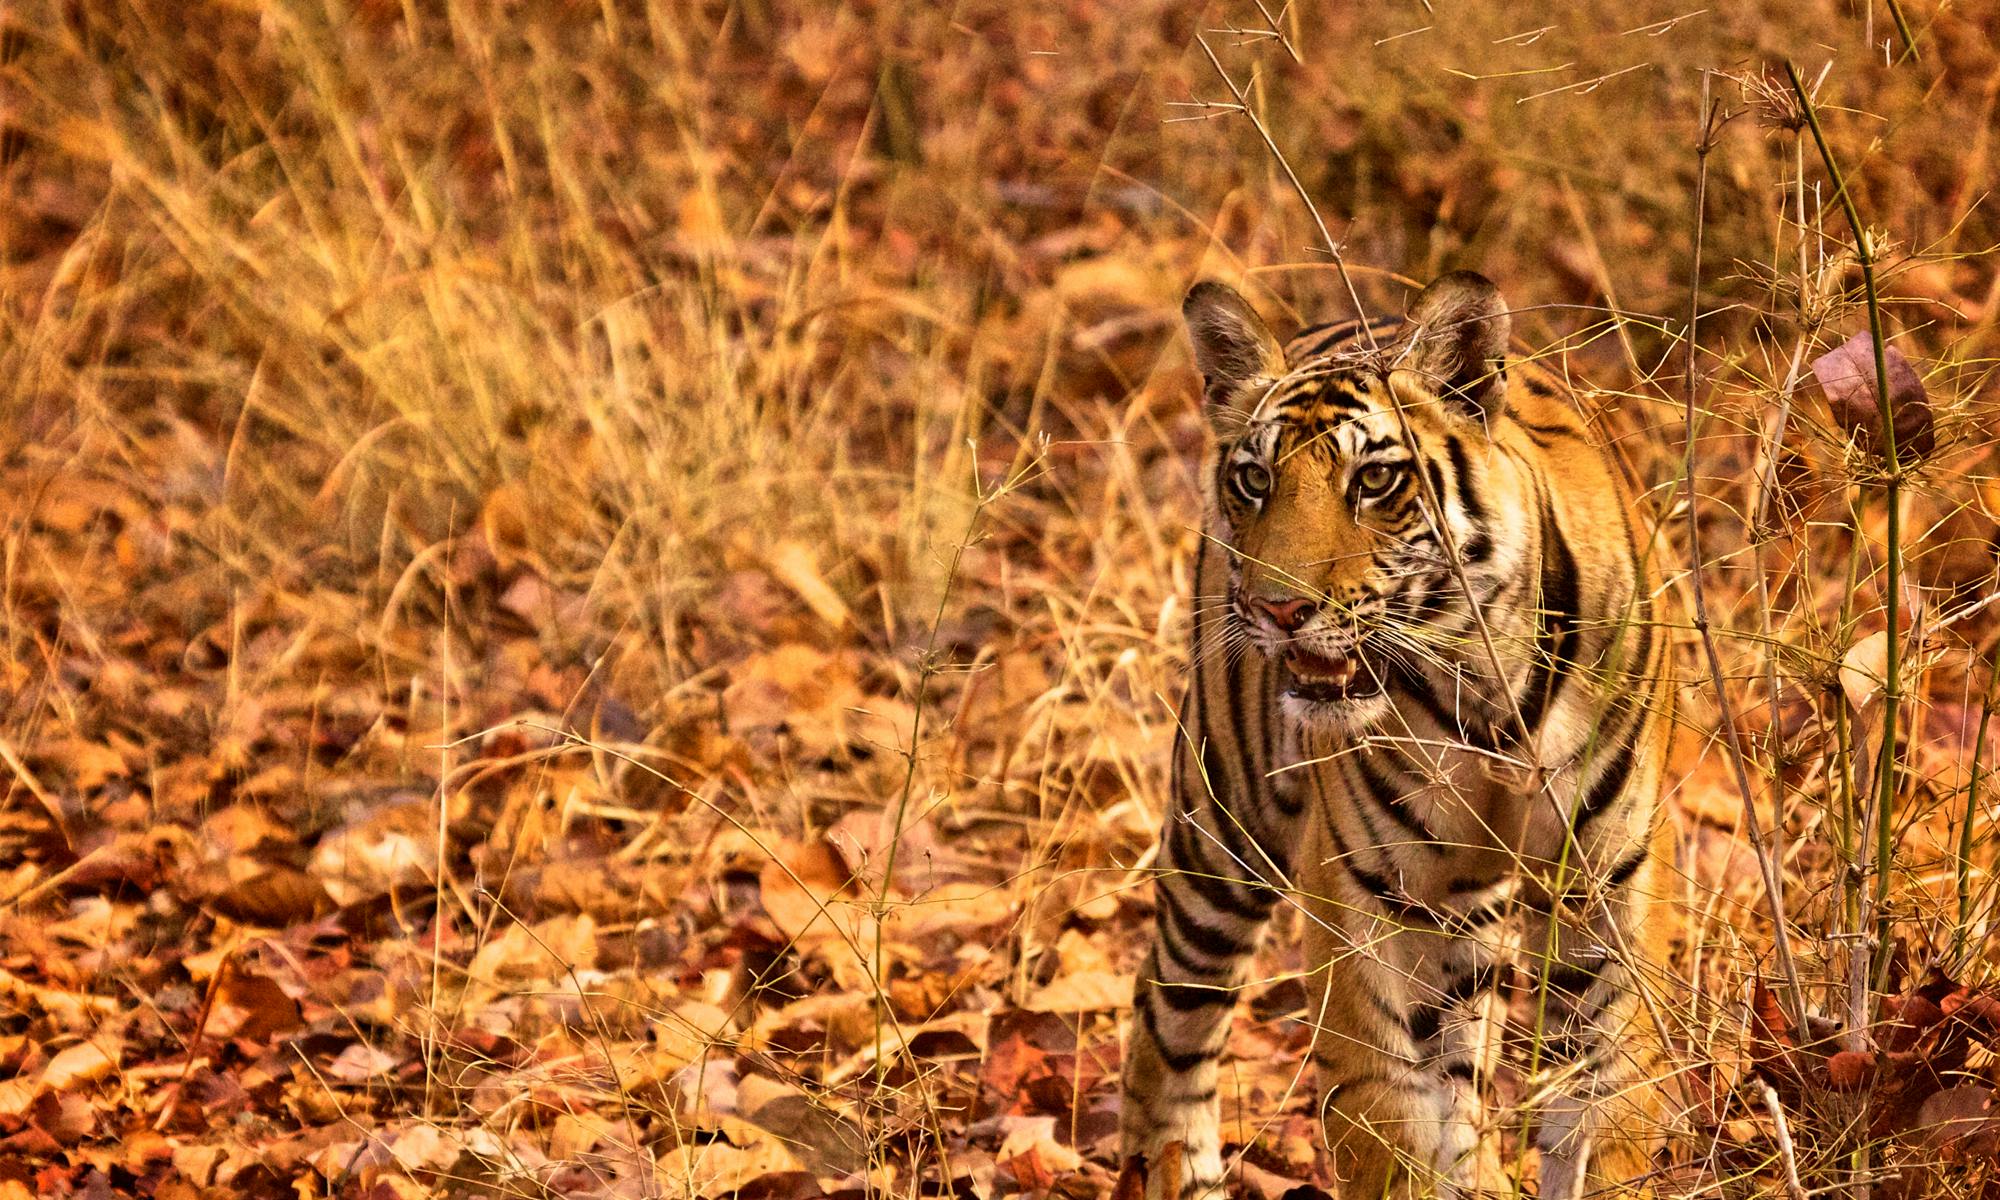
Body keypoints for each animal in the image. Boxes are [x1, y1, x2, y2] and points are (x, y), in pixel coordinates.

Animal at [1118, 271, 1673, 1200]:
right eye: (1255, 478)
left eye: (1375, 480)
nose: (1276, 608)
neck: (1484, 693)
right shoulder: (1366, 907)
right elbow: (1389, 1124)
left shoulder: (1607, 892)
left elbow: (1605, 1108)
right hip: (1222, 831)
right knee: (1169, 1029)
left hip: (1462, 920)